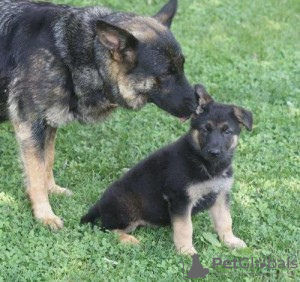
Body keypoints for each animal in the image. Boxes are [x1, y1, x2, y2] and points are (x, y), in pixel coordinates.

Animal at [0, 0, 198, 229]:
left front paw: (53, 190)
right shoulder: (31, 127)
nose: (197, 105)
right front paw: (45, 215)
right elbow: (36, 175)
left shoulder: (49, 125)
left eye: (181, 67)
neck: (72, 53)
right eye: (166, 74)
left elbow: (47, 162)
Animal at [81, 85, 253, 254]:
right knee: (106, 229)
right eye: (206, 129)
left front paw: (230, 240)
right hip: (126, 209)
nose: (214, 152)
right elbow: (185, 228)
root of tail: (99, 204)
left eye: (227, 131)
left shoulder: (221, 195)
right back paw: (129, 240)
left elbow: (225, 220)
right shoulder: (180, 199)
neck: (205, 164)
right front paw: (186, 251)